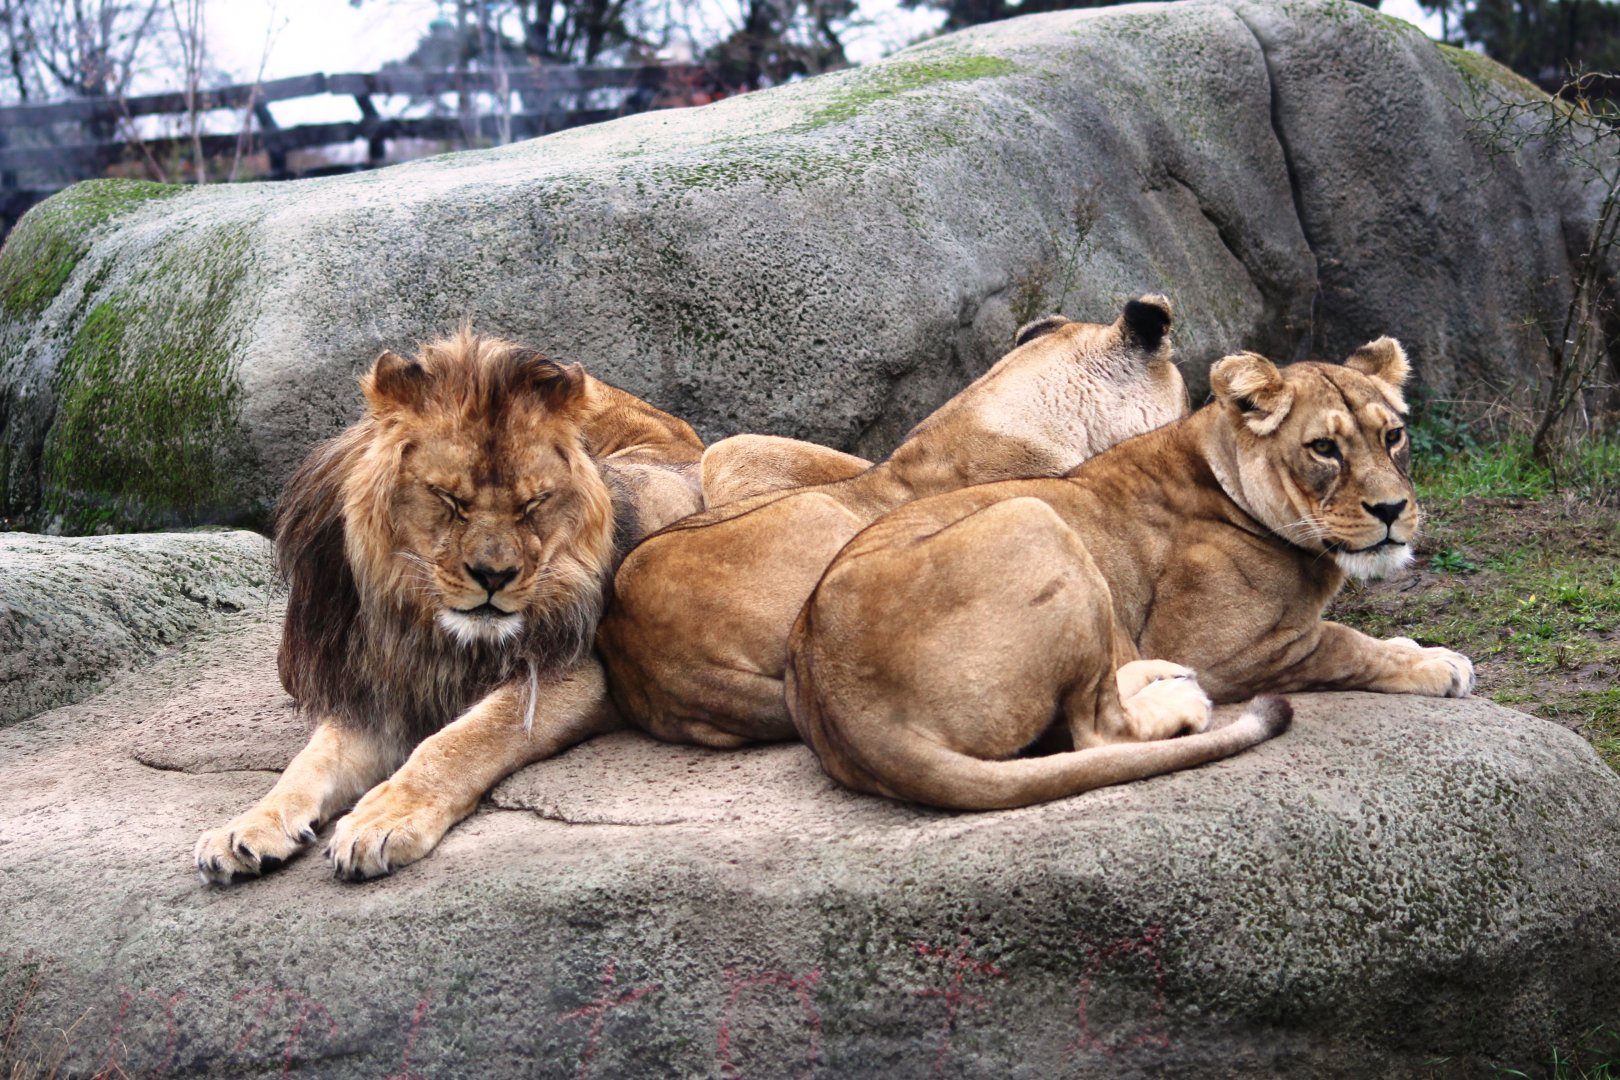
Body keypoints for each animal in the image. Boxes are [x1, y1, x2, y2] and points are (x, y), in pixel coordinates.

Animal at [194, 330, 704, 883]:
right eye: (447, 498)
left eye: (533, 504)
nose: (494, 576)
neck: (436, 629)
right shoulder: (382, 691)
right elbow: (310, 762)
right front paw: (247, 825)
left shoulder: (576, 671)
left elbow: (463, 740)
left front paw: (382, 820)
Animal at [785, 339, 1476, 810]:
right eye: (1324, 449)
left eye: (1393, 437)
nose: (1392, 509)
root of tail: (847, 712)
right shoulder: (1220, 649)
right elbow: (1339, 642)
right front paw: (1437, 664)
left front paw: (1418, 645)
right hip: (1034, 515)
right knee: (1098, 732)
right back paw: (1179, 694)